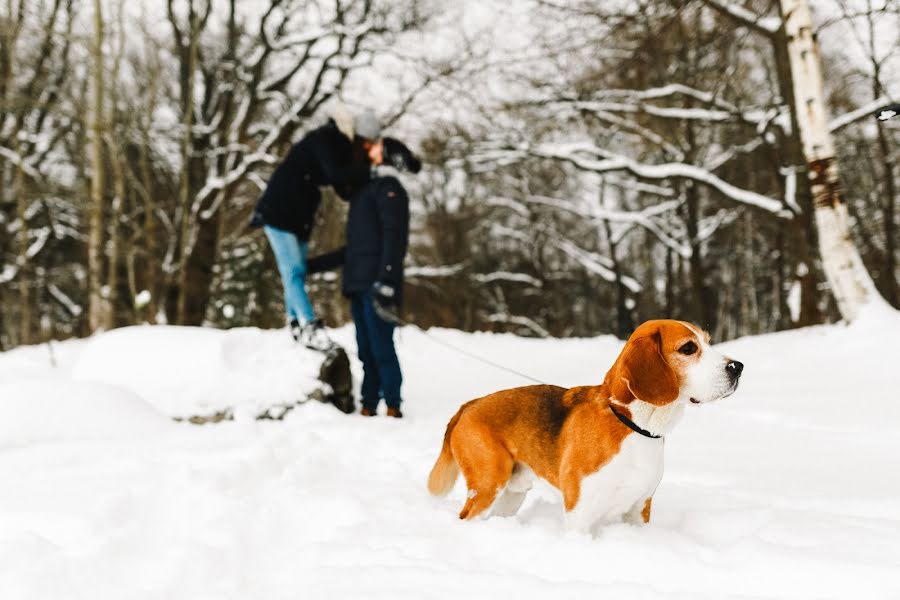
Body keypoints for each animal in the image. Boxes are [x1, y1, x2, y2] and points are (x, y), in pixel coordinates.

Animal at [428, 318, 744, 536]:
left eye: (708, 342)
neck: (634, 425)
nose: (738, 367)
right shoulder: (580, 515)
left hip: (511, 494)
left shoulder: (639, 510)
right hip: (487, 484)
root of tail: (468, 405)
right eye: (688, 348)